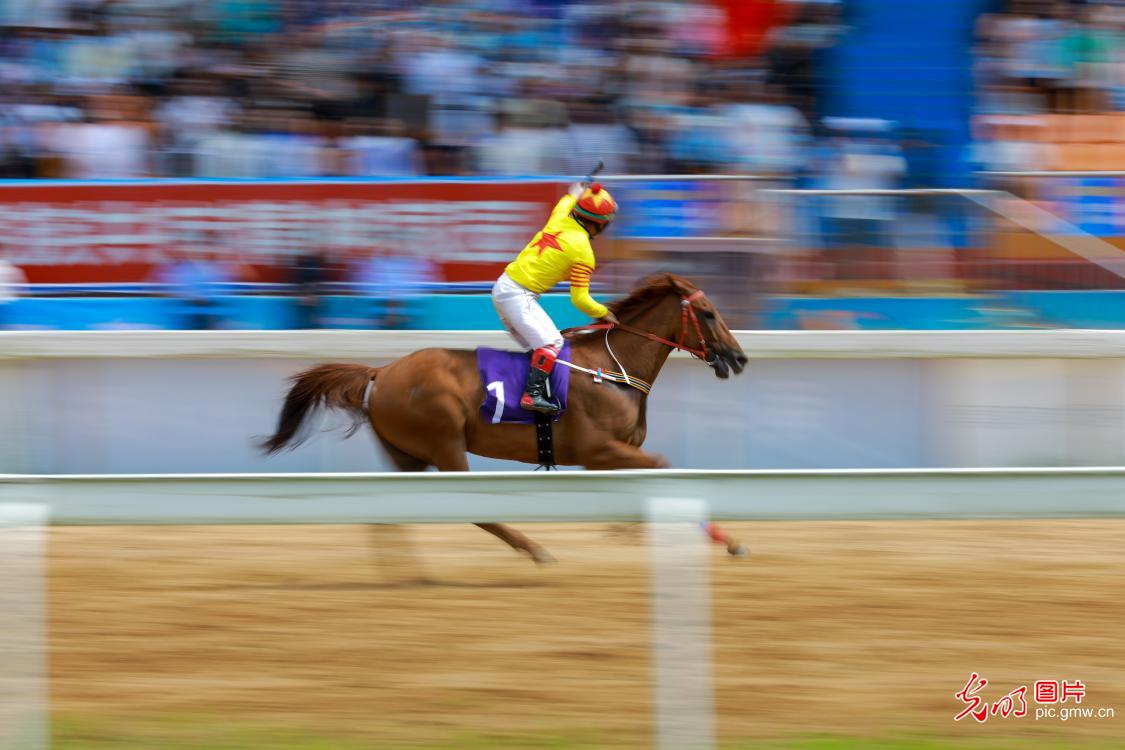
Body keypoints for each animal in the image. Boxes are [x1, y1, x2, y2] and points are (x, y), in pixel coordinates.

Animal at [260, 273, 750, 562]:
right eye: (708, 313)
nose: (739, 357)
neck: (613, 369)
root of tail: (382, 371)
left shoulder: (618, 453)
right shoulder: (599, 451)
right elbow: (665, 468)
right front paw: (730, 541)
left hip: (406, 456)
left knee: (388, 513)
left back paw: (407, 572)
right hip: (444, 443)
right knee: (475, 511)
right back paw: (534, 549)